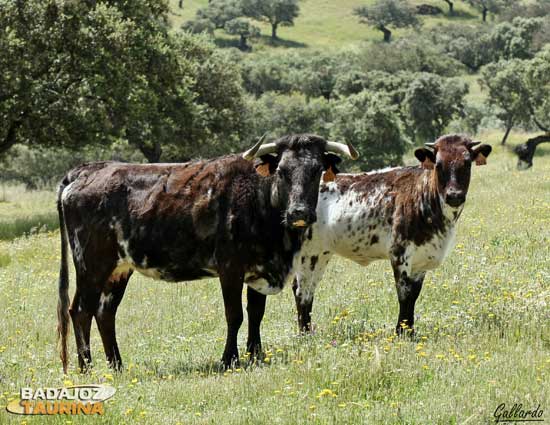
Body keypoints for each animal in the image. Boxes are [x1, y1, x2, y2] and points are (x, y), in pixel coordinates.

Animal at [56, 135, 358, 372]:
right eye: (282, 170)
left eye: (317, 170)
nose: (299, 213)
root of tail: (87, 170)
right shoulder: (230, 268)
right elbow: (234, 314)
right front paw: (229, 359)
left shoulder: (258, 269)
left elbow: (256, 313)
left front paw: (255, 355)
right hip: (91, 264)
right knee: (80, 310)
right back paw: (86, 368)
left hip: (119, 269)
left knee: (105, 312)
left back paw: (116, 367)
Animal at [292, 134, 494, 332]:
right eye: (438, 164)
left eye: (467, 163)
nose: (454, 196)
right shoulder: (400, 253)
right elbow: (404, 295)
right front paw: (401, 332)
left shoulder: (422, 259)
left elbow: (413, 296)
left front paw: (410, 331)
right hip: (308, 253)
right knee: (302, 290)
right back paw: (305, 334)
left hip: (321, 253)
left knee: (308, 289)